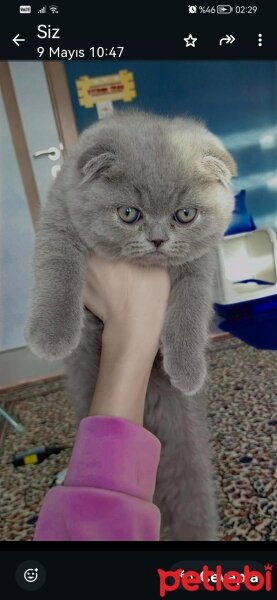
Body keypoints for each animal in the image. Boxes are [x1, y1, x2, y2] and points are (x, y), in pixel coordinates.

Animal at [24, 110, 235, 540]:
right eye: (128, 214)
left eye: (185, 215)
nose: (157, 240)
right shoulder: (58, 220)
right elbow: (58, 267)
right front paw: (51, 335)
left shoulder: (199, 263)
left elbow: (191, 307)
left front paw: (187, 369)